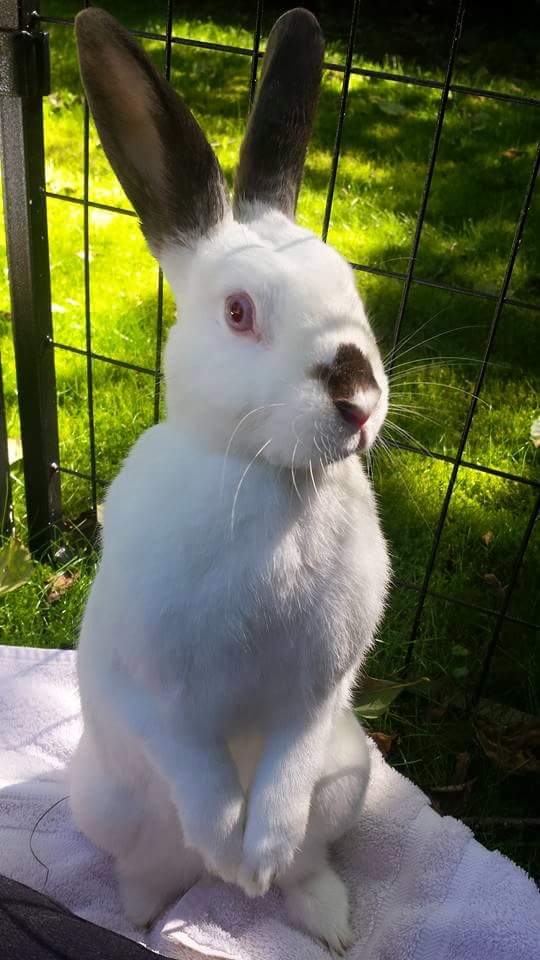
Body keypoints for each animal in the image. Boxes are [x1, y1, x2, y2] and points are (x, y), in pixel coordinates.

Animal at [69, 6, 391, 954]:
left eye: (349, 282)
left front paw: (258, 861)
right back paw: (159, 906)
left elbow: (281, 780)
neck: (268, 477)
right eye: (239, 312)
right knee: (151, 864)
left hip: (348, 779)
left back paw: (308, 912)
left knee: (309, 856)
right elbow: (201, 776)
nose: (360, 400)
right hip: (102, 797)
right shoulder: (153, 690)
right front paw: (227, 849)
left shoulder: (318, 696)